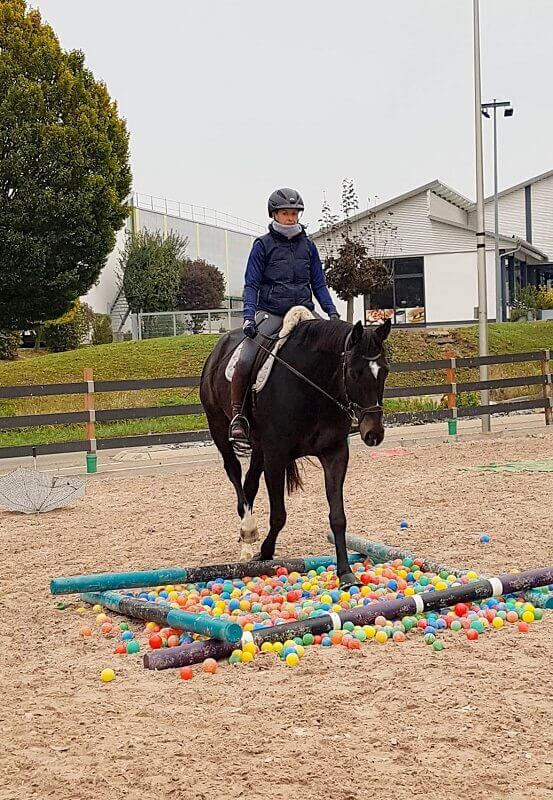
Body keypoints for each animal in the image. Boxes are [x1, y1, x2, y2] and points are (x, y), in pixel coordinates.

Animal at [201, 312, 390, 588]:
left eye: (385, 371)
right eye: (355, 373)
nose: (374, 433)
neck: (312, 386)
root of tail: (219, 348)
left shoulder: (335, 453)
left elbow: (338, 516)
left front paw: (346, 573)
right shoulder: (276, 456)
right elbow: (279, 514)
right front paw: (265, 552)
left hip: (259, 448)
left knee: (250, 484)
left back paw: (246, 542)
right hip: (218, 426)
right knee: (234, 472)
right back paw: (248, 530)